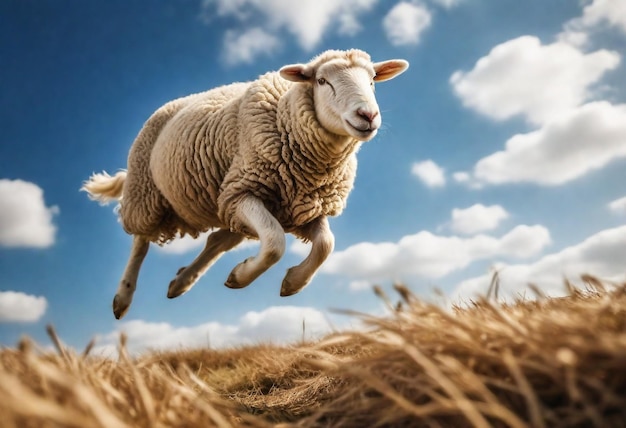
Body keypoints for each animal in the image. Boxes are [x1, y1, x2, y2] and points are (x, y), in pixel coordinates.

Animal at [83, 49, 408, 318]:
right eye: (321, 81)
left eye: (373, 81)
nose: (367, 115)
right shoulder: (242, 193)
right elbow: (275, 243)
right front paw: (243, 276)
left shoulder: (305, 206)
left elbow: (326, 245)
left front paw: (291, 282)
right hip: (147, 191)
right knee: (140, 242)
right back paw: (123, 298)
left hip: (216, 204)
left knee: (217, 240)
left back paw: (181, 282)